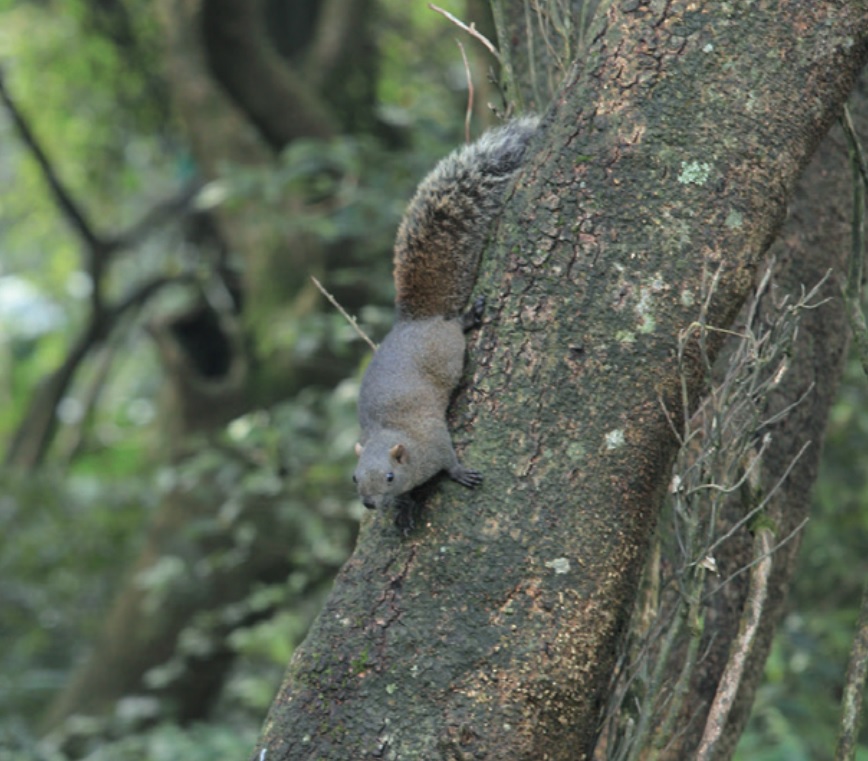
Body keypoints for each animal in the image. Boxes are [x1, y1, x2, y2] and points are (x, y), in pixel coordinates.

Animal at [352, 116, 536, 510]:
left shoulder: (434, 438)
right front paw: (404, 510)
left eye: (389, 476)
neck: (393, 433)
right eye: (355, 478)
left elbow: (448, 458)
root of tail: (416, 320)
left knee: (455, 330)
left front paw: (459, 473)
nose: (370, 504)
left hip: (448, 347)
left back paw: (468, 318)